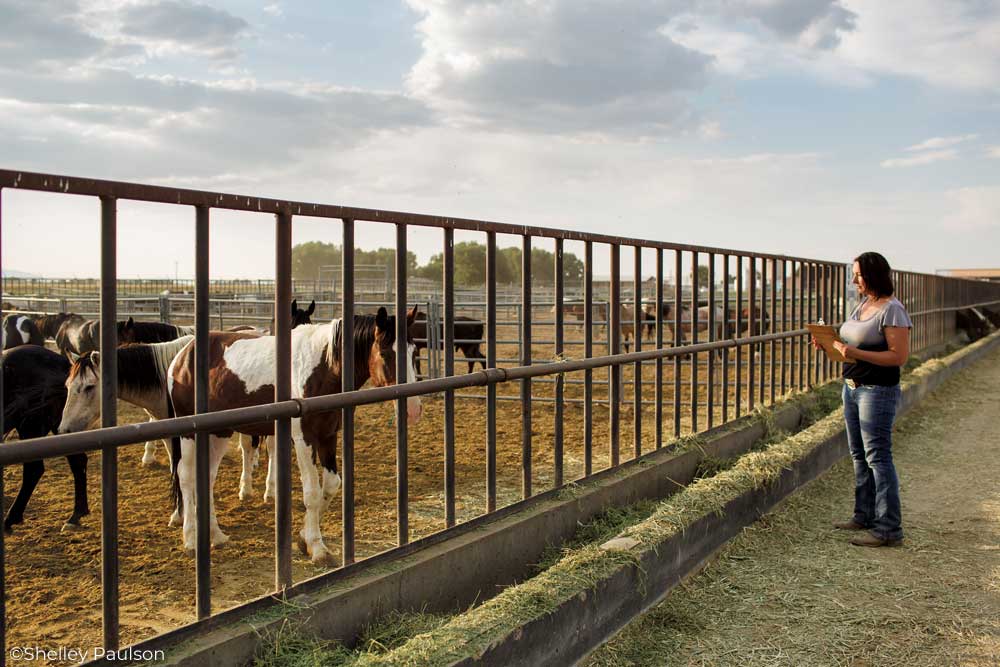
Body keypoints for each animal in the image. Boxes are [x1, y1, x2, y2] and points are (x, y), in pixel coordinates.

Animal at [2, 348, 89, 536]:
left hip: (30, 425)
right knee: (78, 461)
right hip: (62, 424)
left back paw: (10, 519)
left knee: (33, 469)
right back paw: (76, 515)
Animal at [165, 306, 422, 564]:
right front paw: (317, 548)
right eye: (386, 353)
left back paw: (216, 536)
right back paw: (190, 540)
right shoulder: (303, 439)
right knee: (186, 476)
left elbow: (330, 486)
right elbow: (312, 492)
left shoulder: (328, 436)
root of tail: (182, 356)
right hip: (190, 432)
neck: (323, 368)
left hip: (219, 432)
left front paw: (303, 538)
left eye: (413, 352)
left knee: (207, 477)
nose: (413, 410)